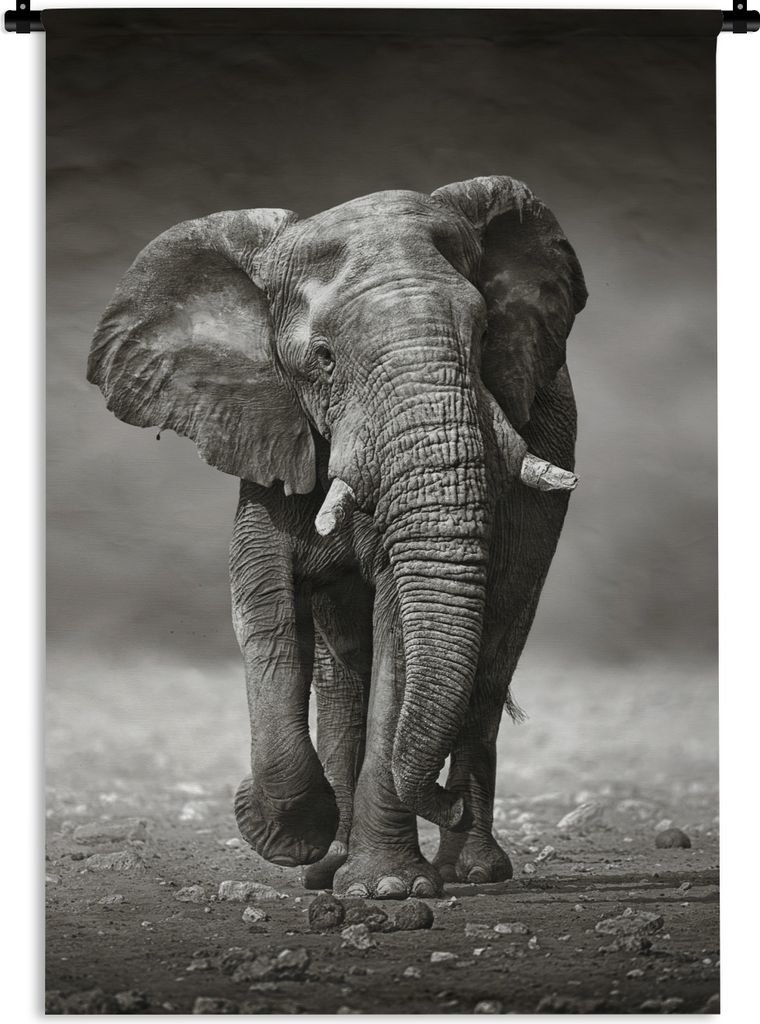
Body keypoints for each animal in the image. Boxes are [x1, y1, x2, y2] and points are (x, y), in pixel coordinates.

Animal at [87, 175, 586, 899]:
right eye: (322, 359)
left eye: (485, 333)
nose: (443, 801)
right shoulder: (268, 431)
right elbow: (264, 611)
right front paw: (289, 838)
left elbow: (400, 631)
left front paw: (389, 888)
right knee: (341, 676)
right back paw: (331, 866)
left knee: (490, 660)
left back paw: (470, 870)